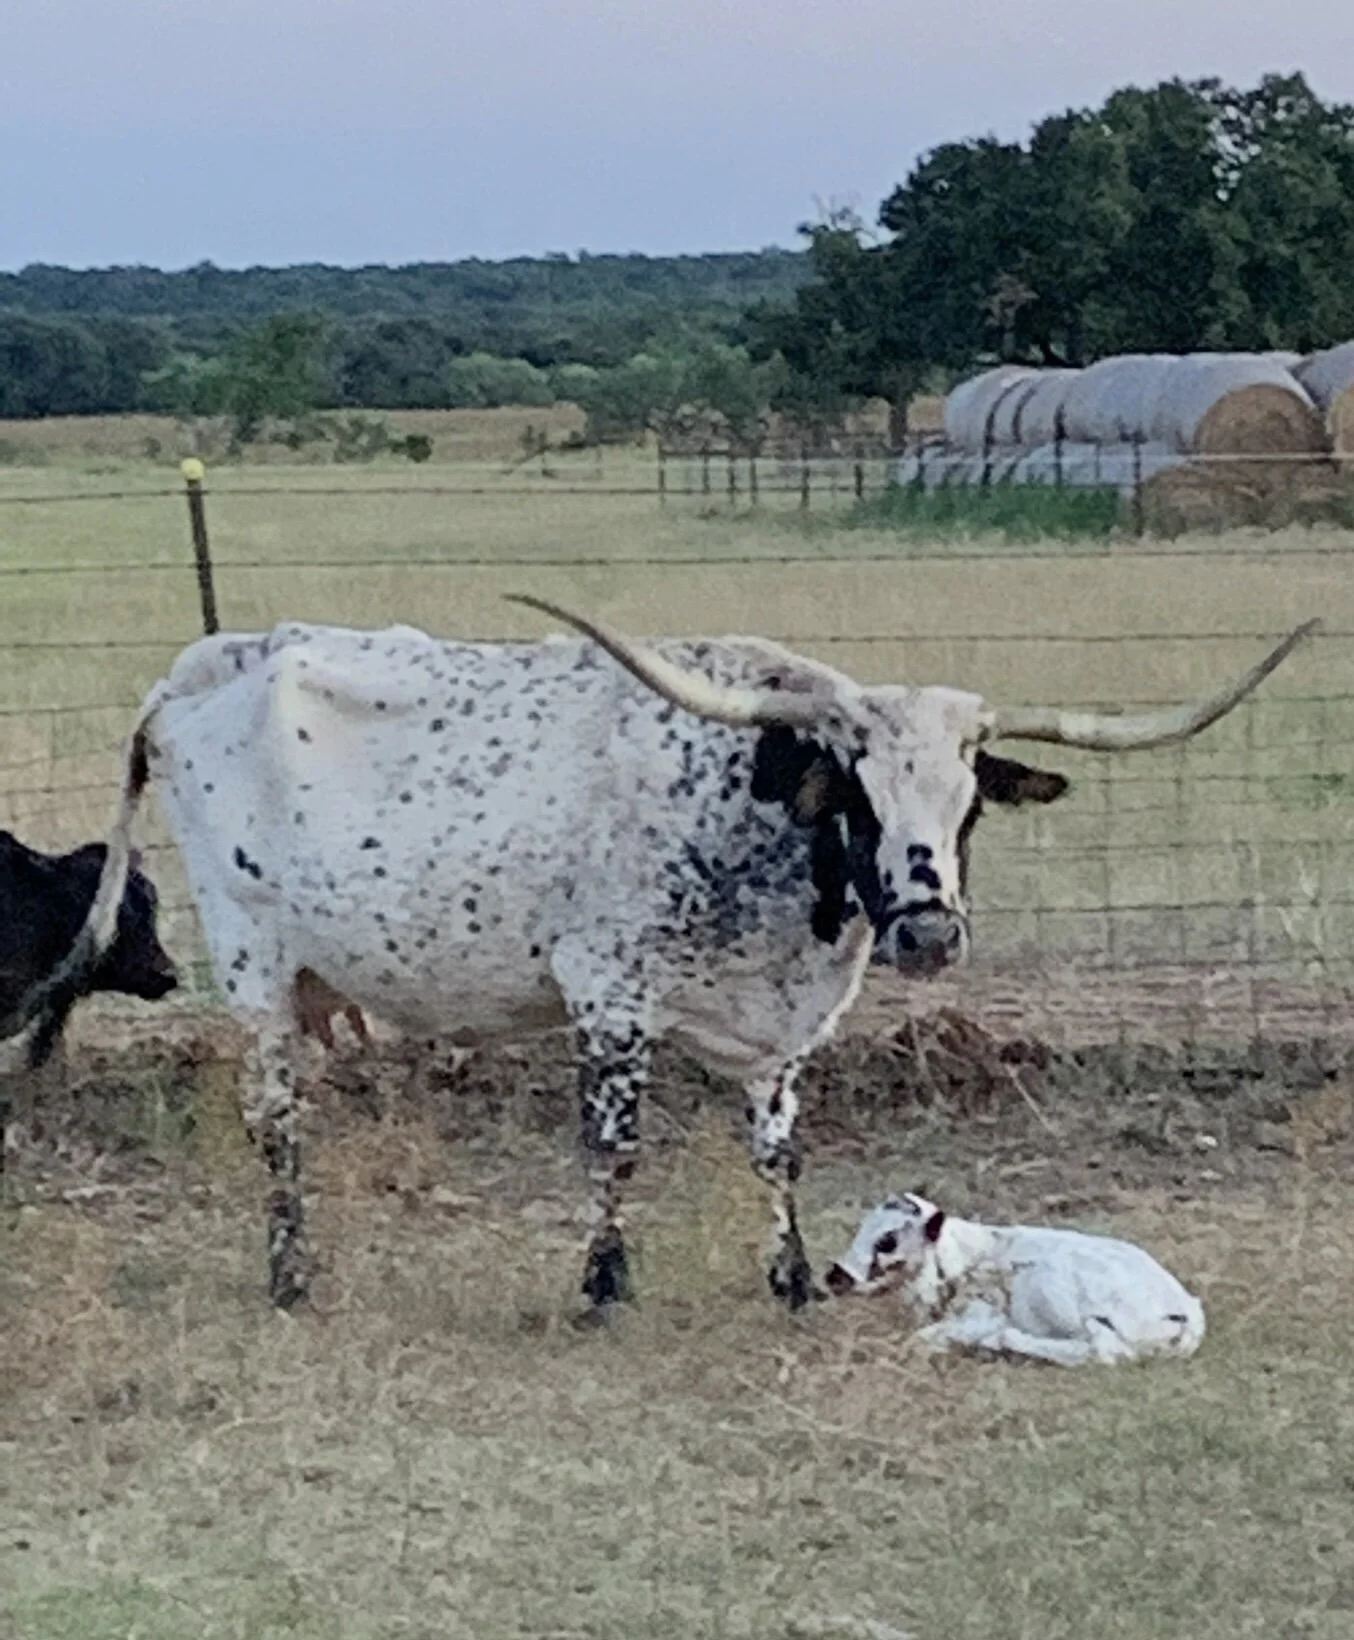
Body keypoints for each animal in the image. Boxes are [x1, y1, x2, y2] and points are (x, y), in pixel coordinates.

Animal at [45, 600, 1313, 1315]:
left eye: (968, 807)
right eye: (859, 791)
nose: (926, 931)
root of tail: (211, 661)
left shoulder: (780, 1032)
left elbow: (779, 1153)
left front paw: (790, 1282)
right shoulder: (606, 994)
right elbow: (613, 1150)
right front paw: (603, 1287)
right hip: (252, 955)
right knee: (276, 1120)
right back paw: (289, 1280)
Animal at [825, 1191, 1206, 1366]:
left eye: (886, 1240)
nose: (835, 1275)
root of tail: (1188, 1309)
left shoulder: (981, 1314)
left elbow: (919, 1340)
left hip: (1051, 1289)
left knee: (1103, 1350)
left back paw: (999, 1343)